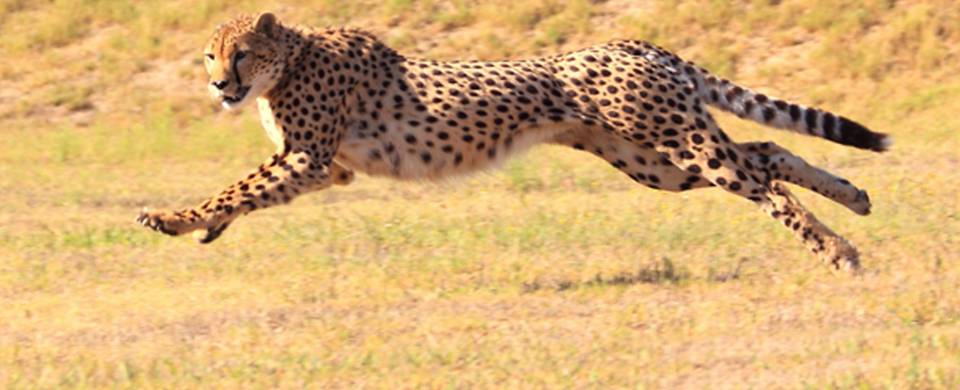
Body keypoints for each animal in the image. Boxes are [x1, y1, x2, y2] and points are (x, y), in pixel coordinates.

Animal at [137, 13, 892, 272]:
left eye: (239, 53)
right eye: (209, 54)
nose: (219, 85)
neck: (290, 59)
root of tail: (637, 42)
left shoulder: (308, 155)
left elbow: (234, 186)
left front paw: (172, 219)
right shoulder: (328, 169)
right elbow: (247, 192)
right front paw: (205, 229)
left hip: (674, 143)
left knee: (761, 180)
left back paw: (839, 249)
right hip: (654, 161)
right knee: (765, 155)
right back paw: (855, 199)